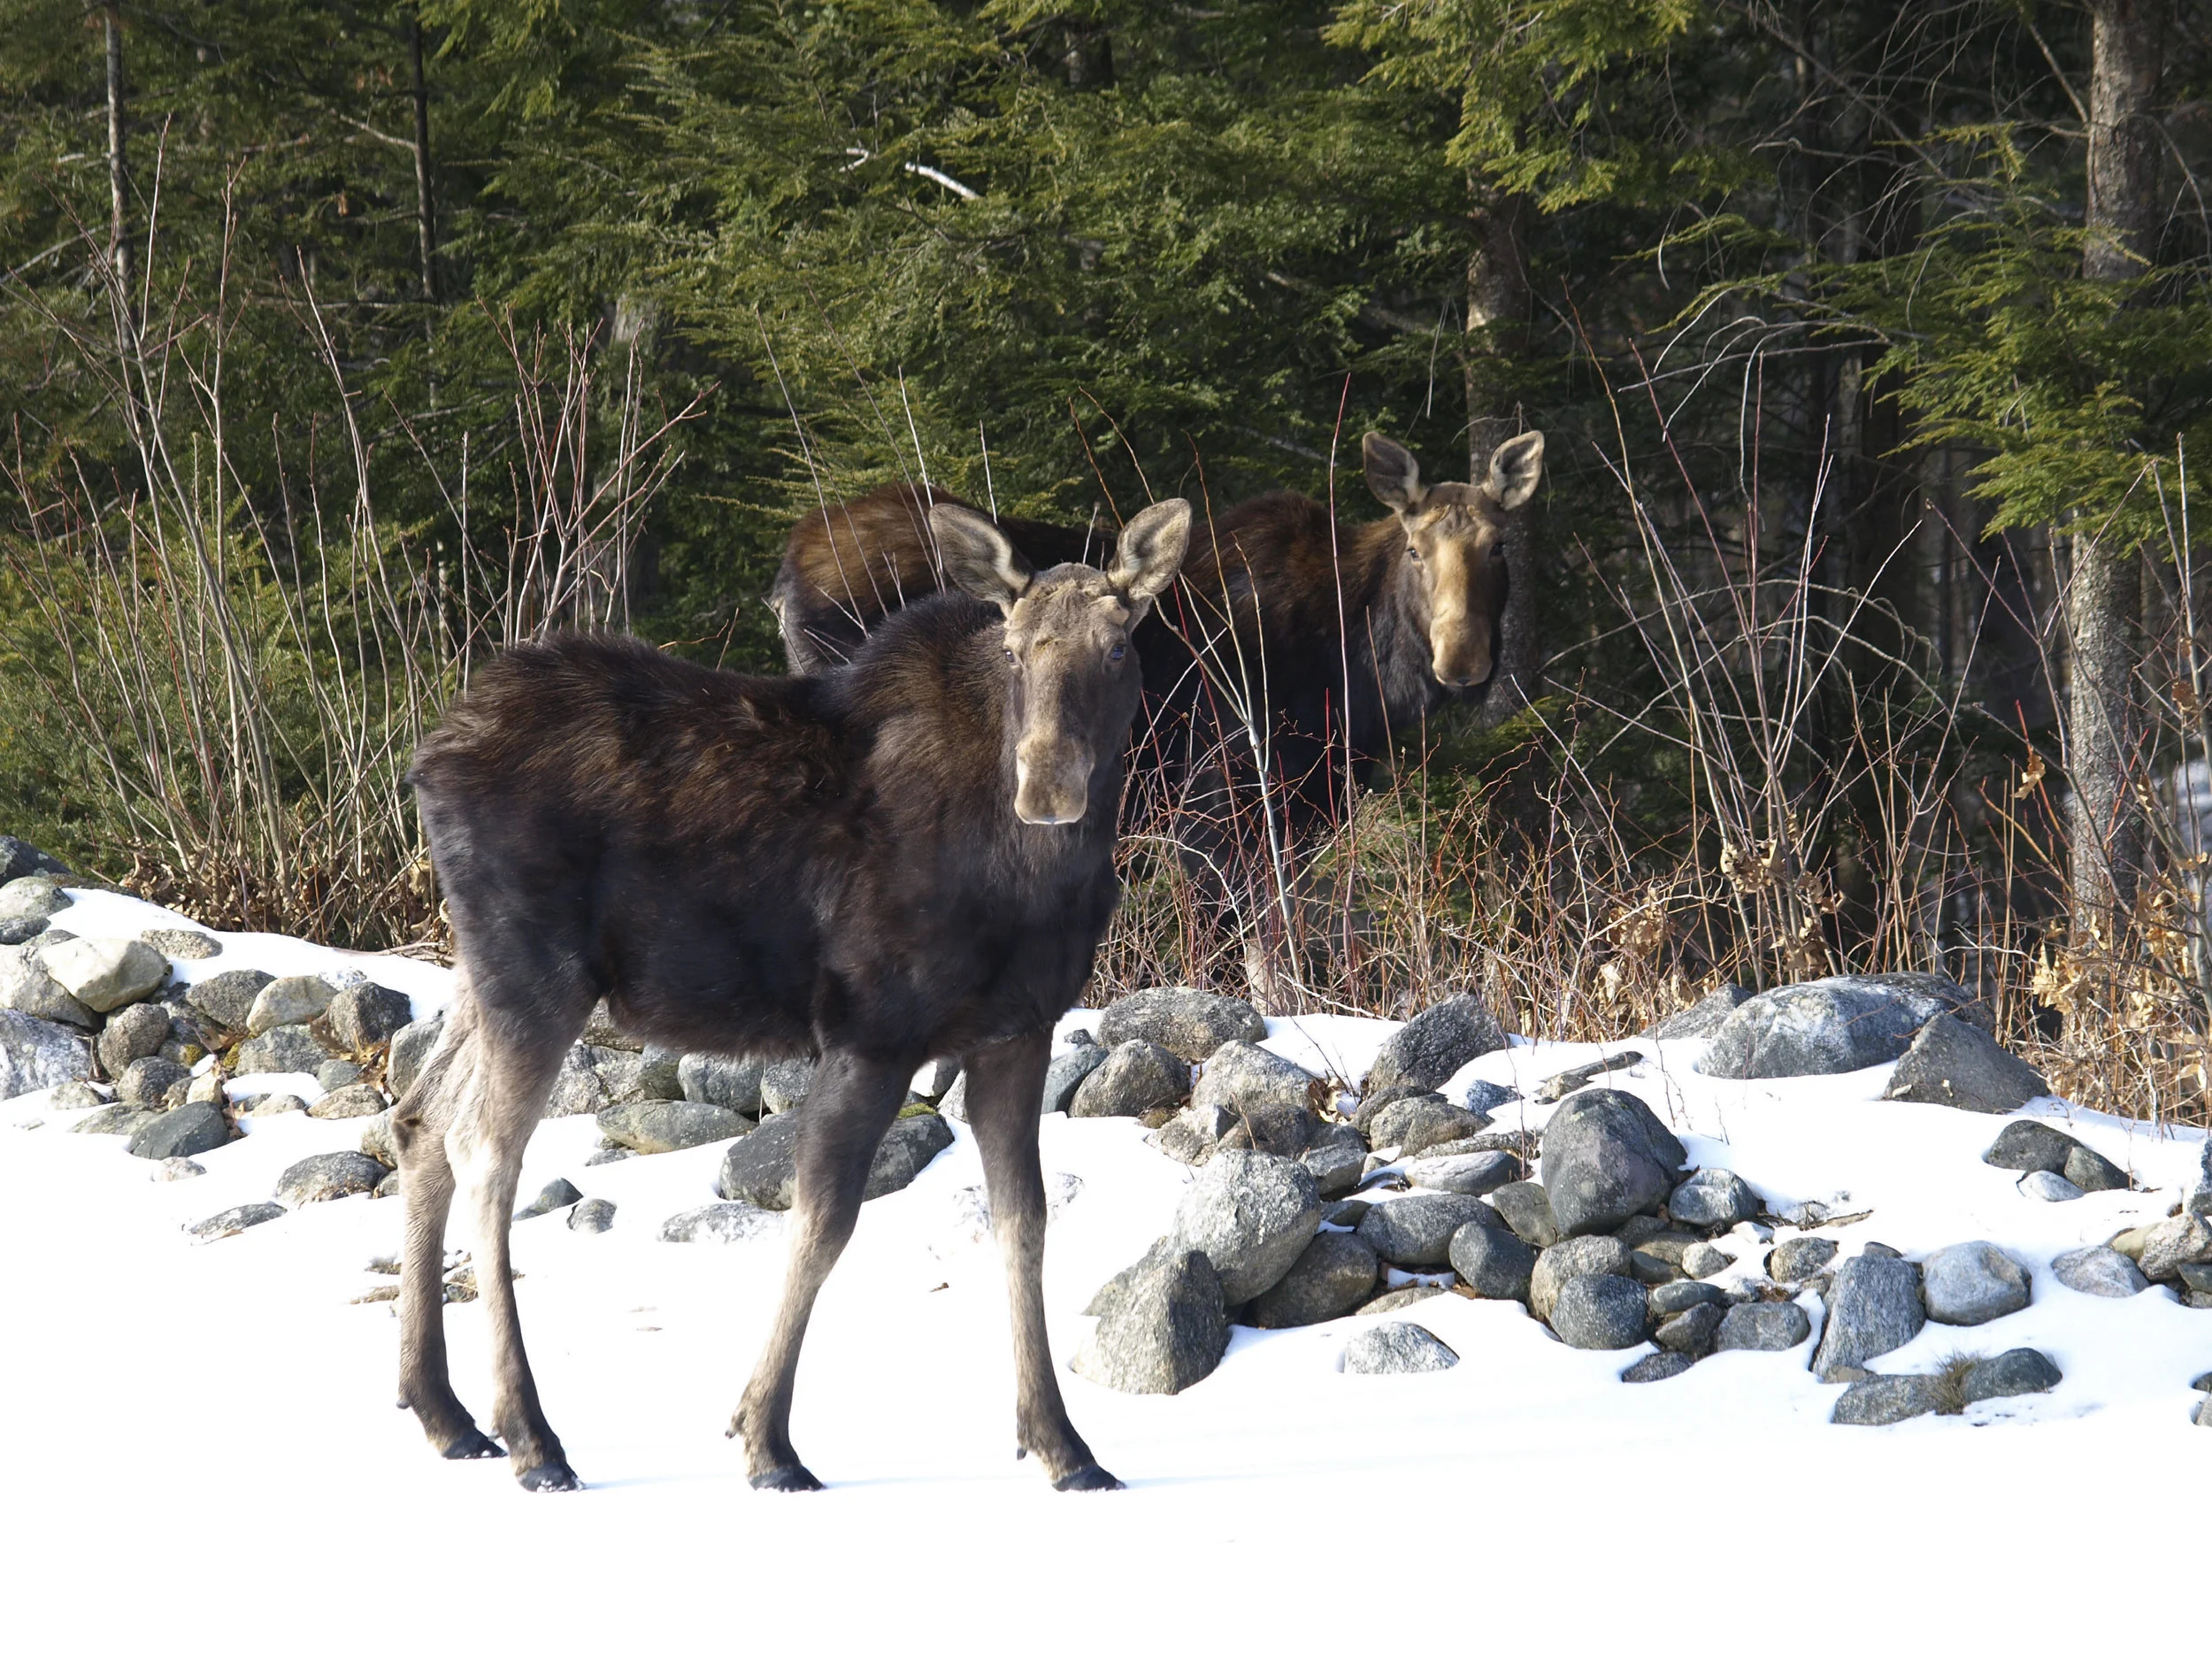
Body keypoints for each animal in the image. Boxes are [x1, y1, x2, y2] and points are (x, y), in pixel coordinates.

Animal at [391, 495, 1193, 1494]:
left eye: (1118, 646)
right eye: (1013, 649)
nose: (1047, 784)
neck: (1038, 878)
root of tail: (427, 759)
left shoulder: (1017, 1030)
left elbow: (1025, 1222)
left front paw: (1062, 1444)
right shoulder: (870, 1030)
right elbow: (822, 1220)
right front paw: (766, 1439)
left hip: (482, 973)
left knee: (418, 1118)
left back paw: (443, 1410)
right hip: (537, 974)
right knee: (484, 1153)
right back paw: (533, 1438)